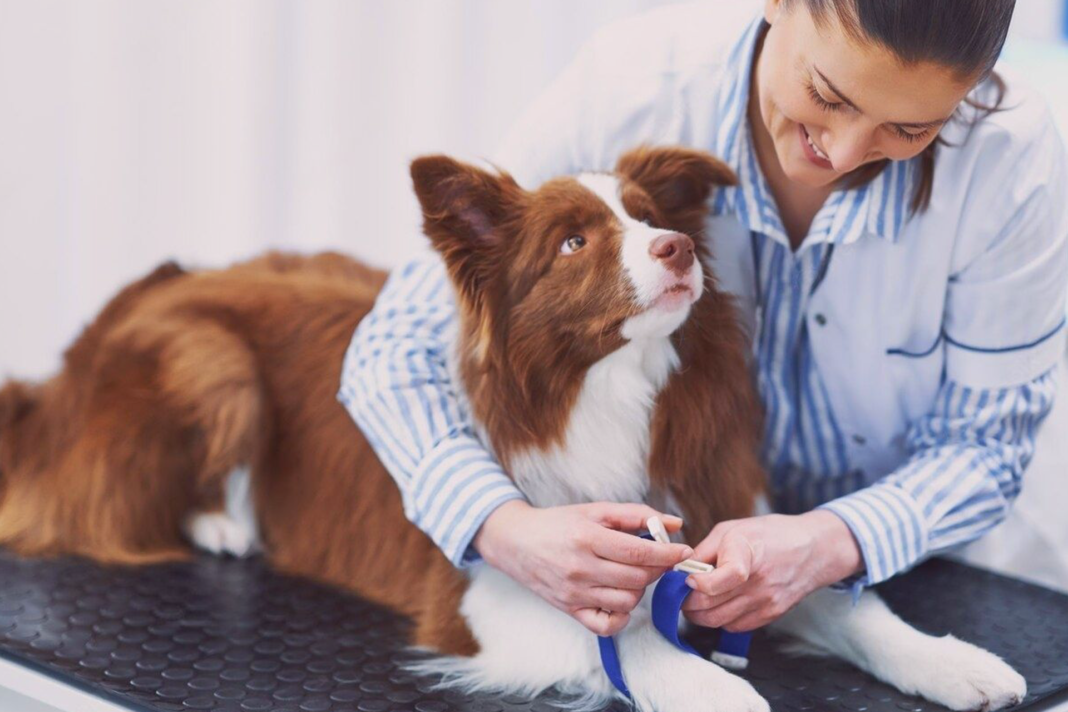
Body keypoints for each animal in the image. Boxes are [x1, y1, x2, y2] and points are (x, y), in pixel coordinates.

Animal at [0, 149, 1025, 712]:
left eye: (648, 218)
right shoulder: (478, 593)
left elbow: (852, 604)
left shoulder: (712, 530)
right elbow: (618, 640)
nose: (677, 248)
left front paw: (954, 662)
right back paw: (223, 522)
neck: (602, 391)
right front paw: (711, 688)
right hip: (213, 364)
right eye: (575, 242)